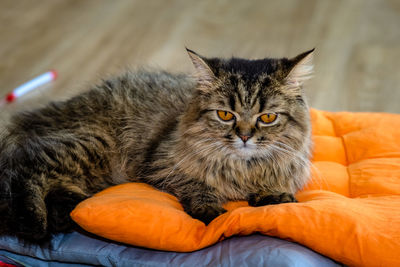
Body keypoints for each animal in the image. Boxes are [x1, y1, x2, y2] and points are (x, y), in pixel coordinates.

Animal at [0, 48, 312, 243]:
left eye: (267, 117)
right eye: (225, 115)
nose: (245, 137)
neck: (243, 169)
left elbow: (277, 188)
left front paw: (274, 197)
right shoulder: (161, 166)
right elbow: (198, 187)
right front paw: (211, 212)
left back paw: (64, 214)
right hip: (90, 145)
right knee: (24, 170)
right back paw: (34, 223)